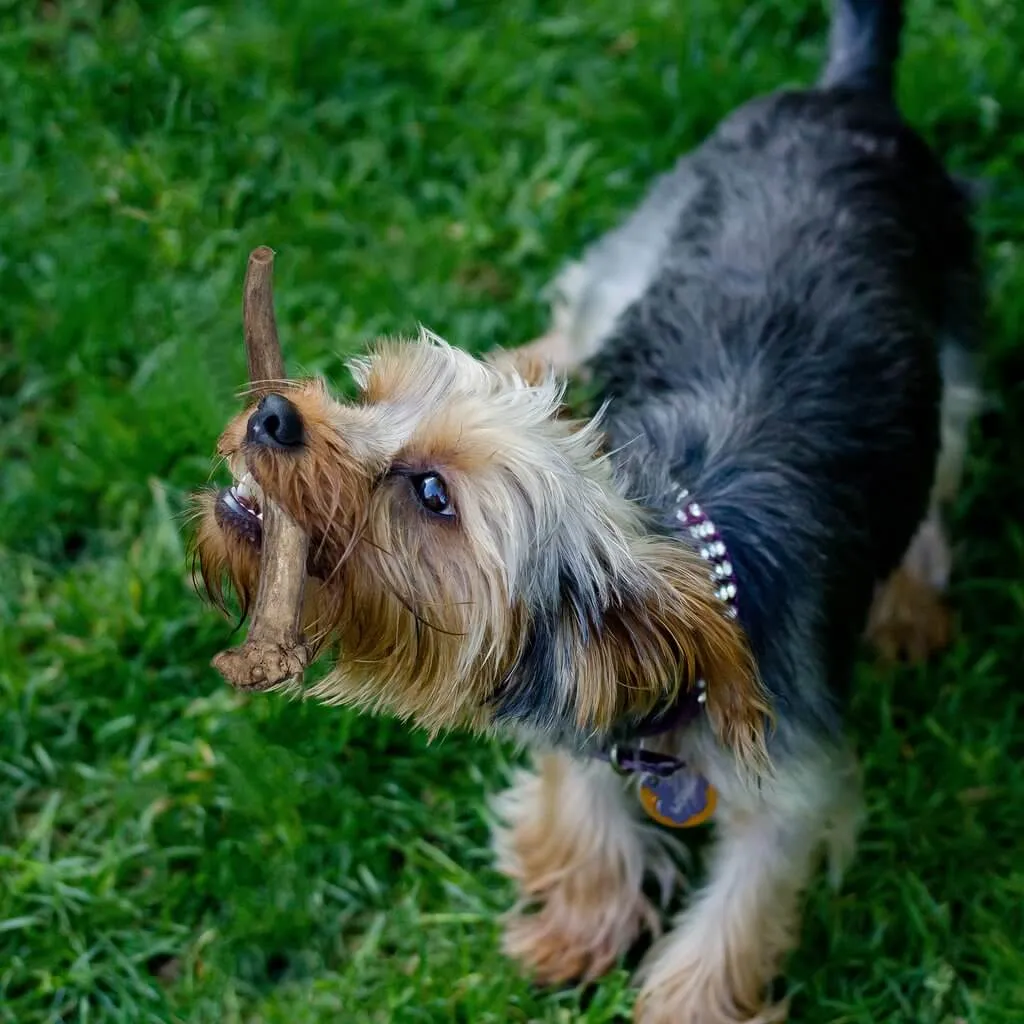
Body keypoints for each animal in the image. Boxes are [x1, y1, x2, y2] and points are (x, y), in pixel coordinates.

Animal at [192, 4, 983, 1019]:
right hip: (641, 250)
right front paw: (579, 922)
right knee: (578, 317)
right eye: (369, 395)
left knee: (944, 463)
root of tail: (847, 93)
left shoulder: (790, 787)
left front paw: (683, 1000)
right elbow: (582, 804)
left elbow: (734, 919)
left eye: (434, 495)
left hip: (953, 348)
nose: (274, 413)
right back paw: (532, 359)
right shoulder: (581, 711)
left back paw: (912, 604)